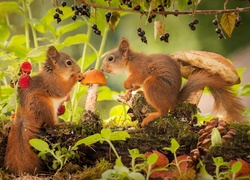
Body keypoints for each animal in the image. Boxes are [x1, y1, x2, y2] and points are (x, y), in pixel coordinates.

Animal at [4, 46, 83, 174]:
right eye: (68, 62)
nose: (79, 69)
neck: (54, 72)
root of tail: (24, 114)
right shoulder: (53, 83)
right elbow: (62, 89)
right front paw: (78, 76)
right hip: (42, 104)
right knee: (49, 125)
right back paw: (66, 123)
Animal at [100, 38, 246, 126]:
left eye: (111, 58)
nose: (101, 69)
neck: (130, 61)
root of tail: (173, 100)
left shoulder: (140, 70)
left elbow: (136, 78)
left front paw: (126, 85)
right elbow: (134, 85)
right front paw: (128, 93)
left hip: (152, 85)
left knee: (164, 111)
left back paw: (151, 116)